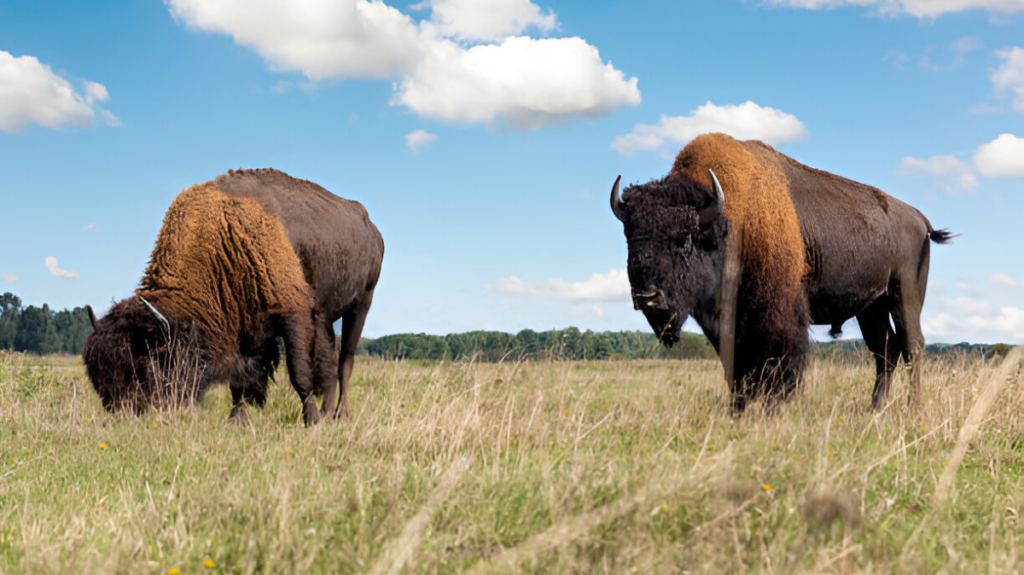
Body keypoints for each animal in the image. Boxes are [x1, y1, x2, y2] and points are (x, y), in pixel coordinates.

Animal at [84, 181, 331, 423]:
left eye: (150, 365)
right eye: (96, 372)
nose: (123, 415)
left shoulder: (293, 313)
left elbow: (299, 372)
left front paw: (312, 420)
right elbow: (241, 382)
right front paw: (238, 420)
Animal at [211, 167, 385, 419]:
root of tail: (374, 232)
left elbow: (298, 369)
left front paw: (310, 417)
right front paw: (237, 418)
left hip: (361, 304)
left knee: (346, 359)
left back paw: (341, 413)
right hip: (327, 314)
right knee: (332, 357)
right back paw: (327, 411)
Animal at [606, 134, 950, 411]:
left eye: (685, 239)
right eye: (631, 238)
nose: (647, 297)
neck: (730, 224)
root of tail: (918, 217)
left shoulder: (778, 317)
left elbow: (778, 366)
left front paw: (773, 409)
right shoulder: (727, 324)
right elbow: (736, 369)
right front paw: (738, 410)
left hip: (904, 295)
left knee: (913, 347)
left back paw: (913, 409)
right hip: (871, 307)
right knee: (885, 351)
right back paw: (874, 410)